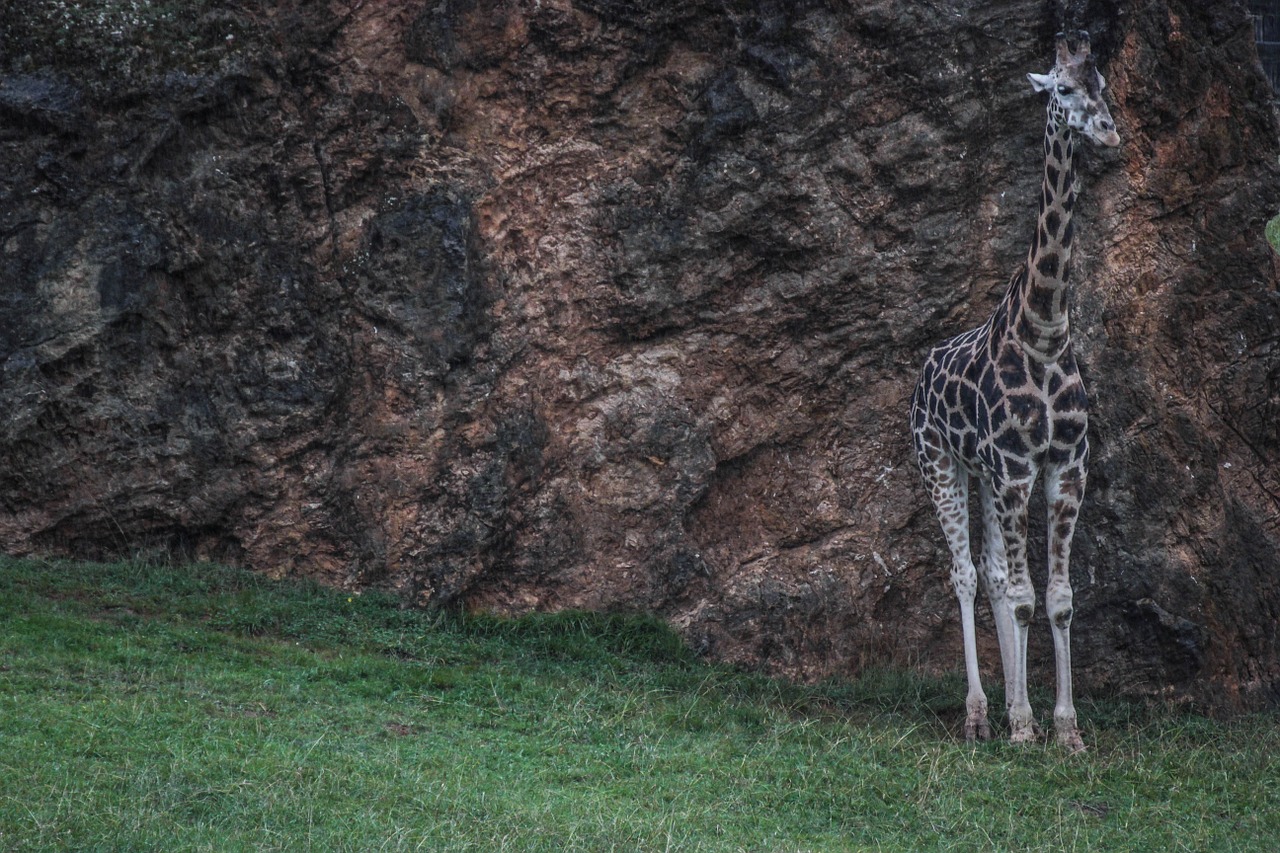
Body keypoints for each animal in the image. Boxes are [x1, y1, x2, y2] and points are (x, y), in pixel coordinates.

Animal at [911, 33, 1121, 753]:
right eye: (1063, 89)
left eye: (1105, 85)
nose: (1110, 132)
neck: (1045, 332)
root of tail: (923, 366)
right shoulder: (1015, 468)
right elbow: (1027, 595)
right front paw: (1029, 726)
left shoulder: (1064, 466)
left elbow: (1056, 598)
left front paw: (1065, 728)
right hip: (941, 462)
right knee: (968, 573)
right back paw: (982, 713)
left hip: (981, 473)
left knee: (995, 571)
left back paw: (1005, 705)